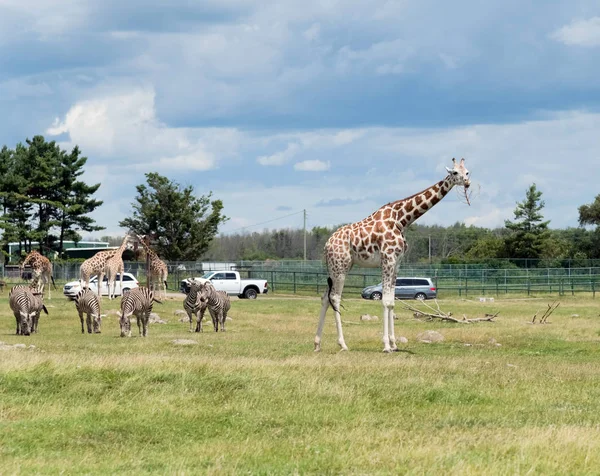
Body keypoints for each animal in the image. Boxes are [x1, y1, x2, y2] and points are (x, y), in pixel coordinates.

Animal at [314, 158, 474, 352]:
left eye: (467, 172)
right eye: (455, 173)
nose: (467, 183)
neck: (402, 219)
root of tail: (327, 244)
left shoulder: (397, 263)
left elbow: (392, 301)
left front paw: (394, 343)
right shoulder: (387, 259)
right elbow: (385, 301)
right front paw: (386, 345)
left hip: (336, 267)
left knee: (325, 297)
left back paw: (317, 343)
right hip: (340, 266)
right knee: (335, 298)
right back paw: (343, 344)